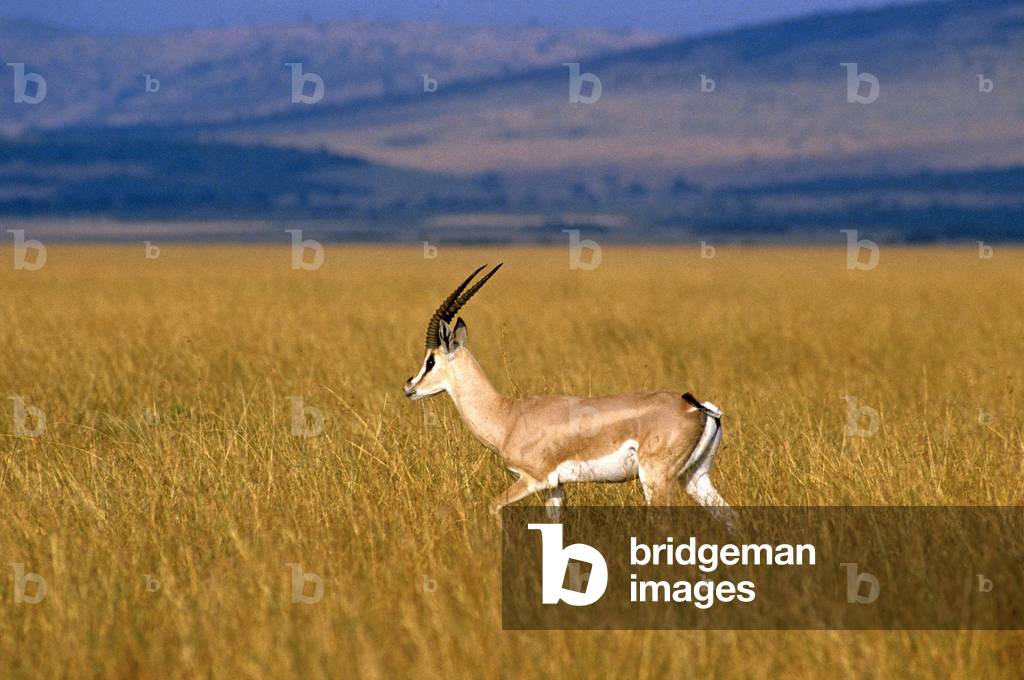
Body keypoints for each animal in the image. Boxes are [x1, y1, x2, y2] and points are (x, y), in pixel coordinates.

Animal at [403, 265, 735, 525]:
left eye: (430, 361)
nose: (409, 387)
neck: (507, 416)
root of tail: (695, 407)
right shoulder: (555, 487)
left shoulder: (532, 480)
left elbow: (492, 506)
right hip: (694, 477)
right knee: (729, 515)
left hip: (656, 479)